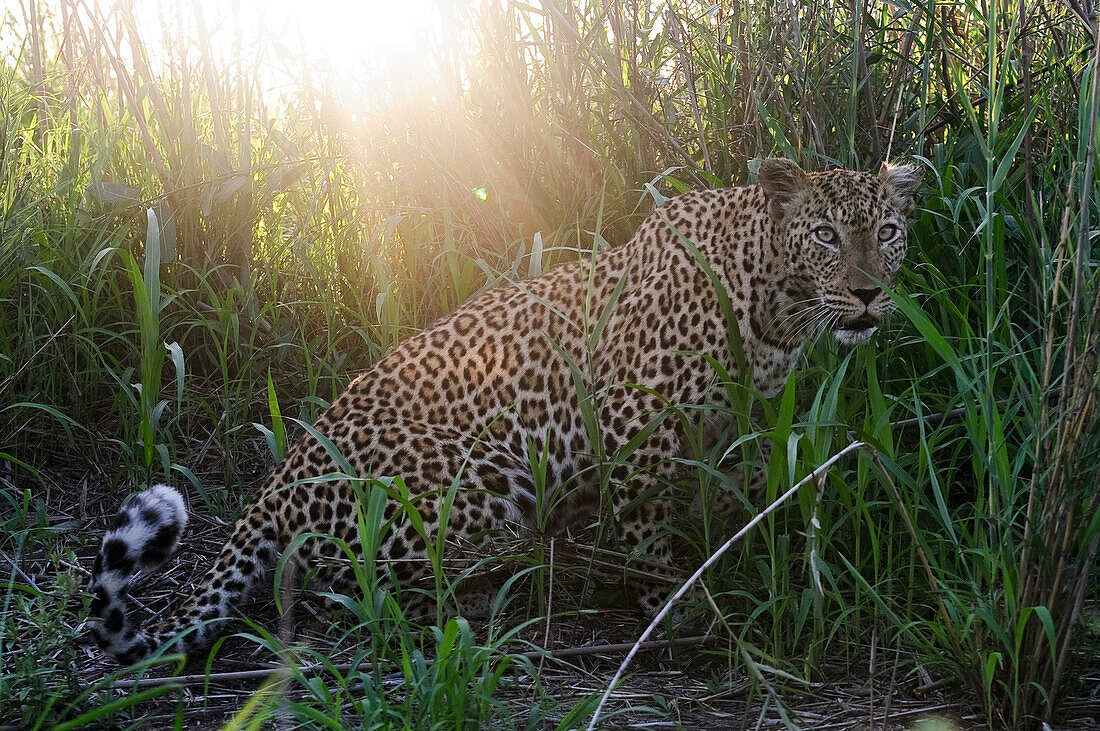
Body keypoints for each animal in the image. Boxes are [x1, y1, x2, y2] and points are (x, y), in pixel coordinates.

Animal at [90, 158, 924, 659]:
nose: (868, 293)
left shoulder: (736, 424)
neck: (777, 305)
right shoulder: (635, 424)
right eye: (826, 234)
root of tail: (276, 481)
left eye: (887, 231)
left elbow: (735, 499)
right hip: (472, 489)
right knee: (363, 578)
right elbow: (652, 535)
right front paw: (676, 610)